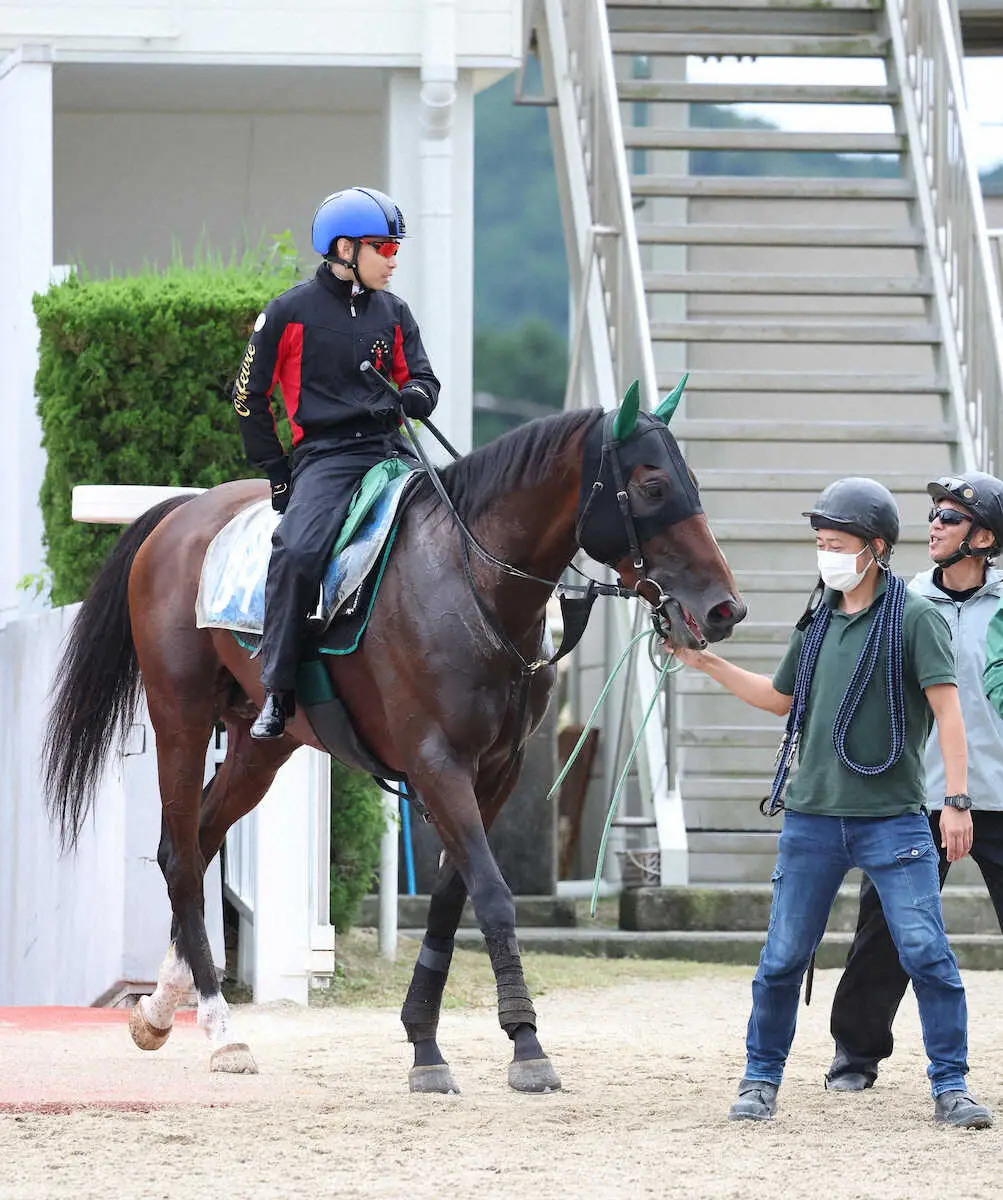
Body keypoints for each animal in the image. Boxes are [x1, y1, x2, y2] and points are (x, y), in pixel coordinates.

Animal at [41, 379, 743, 1094]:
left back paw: (159, 1008)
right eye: (653, 485)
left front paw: (426, 1042)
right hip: (179, 720)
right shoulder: (438, 766)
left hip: (261, 746)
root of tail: (182, 513)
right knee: (181, 856)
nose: (725, 608)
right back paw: (221, 1030)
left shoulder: (497, 772)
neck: (473, 582)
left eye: (689, 480)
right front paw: (524, 1043)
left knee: (198, 843)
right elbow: (493, 895)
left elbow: (450, 903)